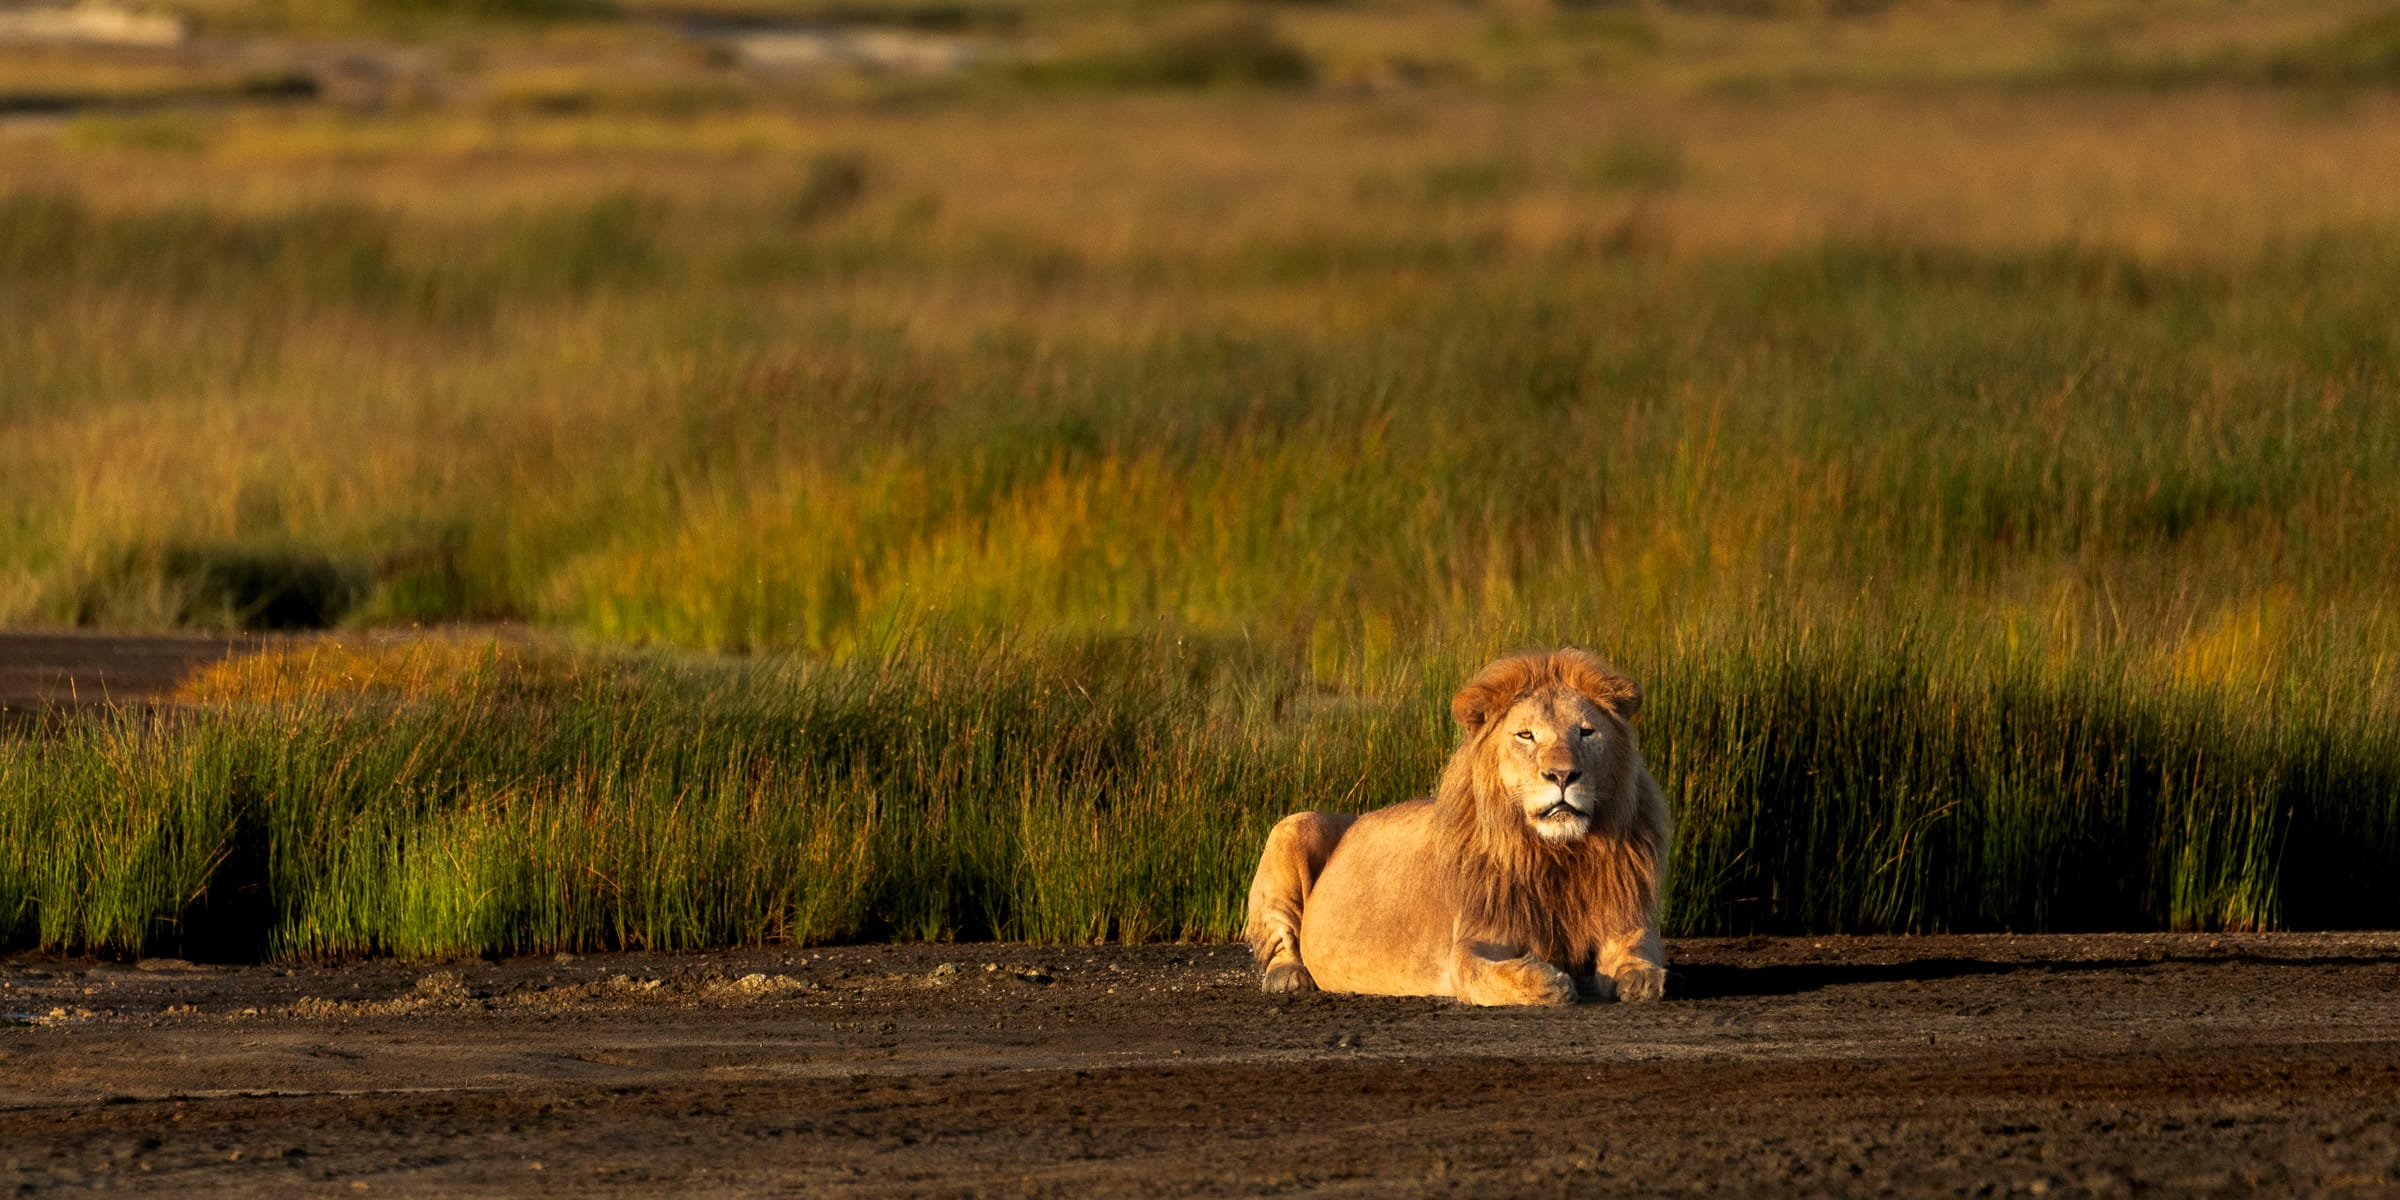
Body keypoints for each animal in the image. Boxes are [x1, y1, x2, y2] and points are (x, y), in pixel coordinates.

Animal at [1243, 648, 1669, 1006]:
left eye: (1585, 732)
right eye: (1526, 735)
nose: (1562, 775)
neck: (1555, 855)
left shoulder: (1622, 913)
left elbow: (1640, 946)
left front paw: (1641, 977)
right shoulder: (1473, 937)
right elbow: (1480, 972)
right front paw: (1547, 982)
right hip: (1292, 825)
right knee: (1280, 941)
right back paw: (1289, 977)